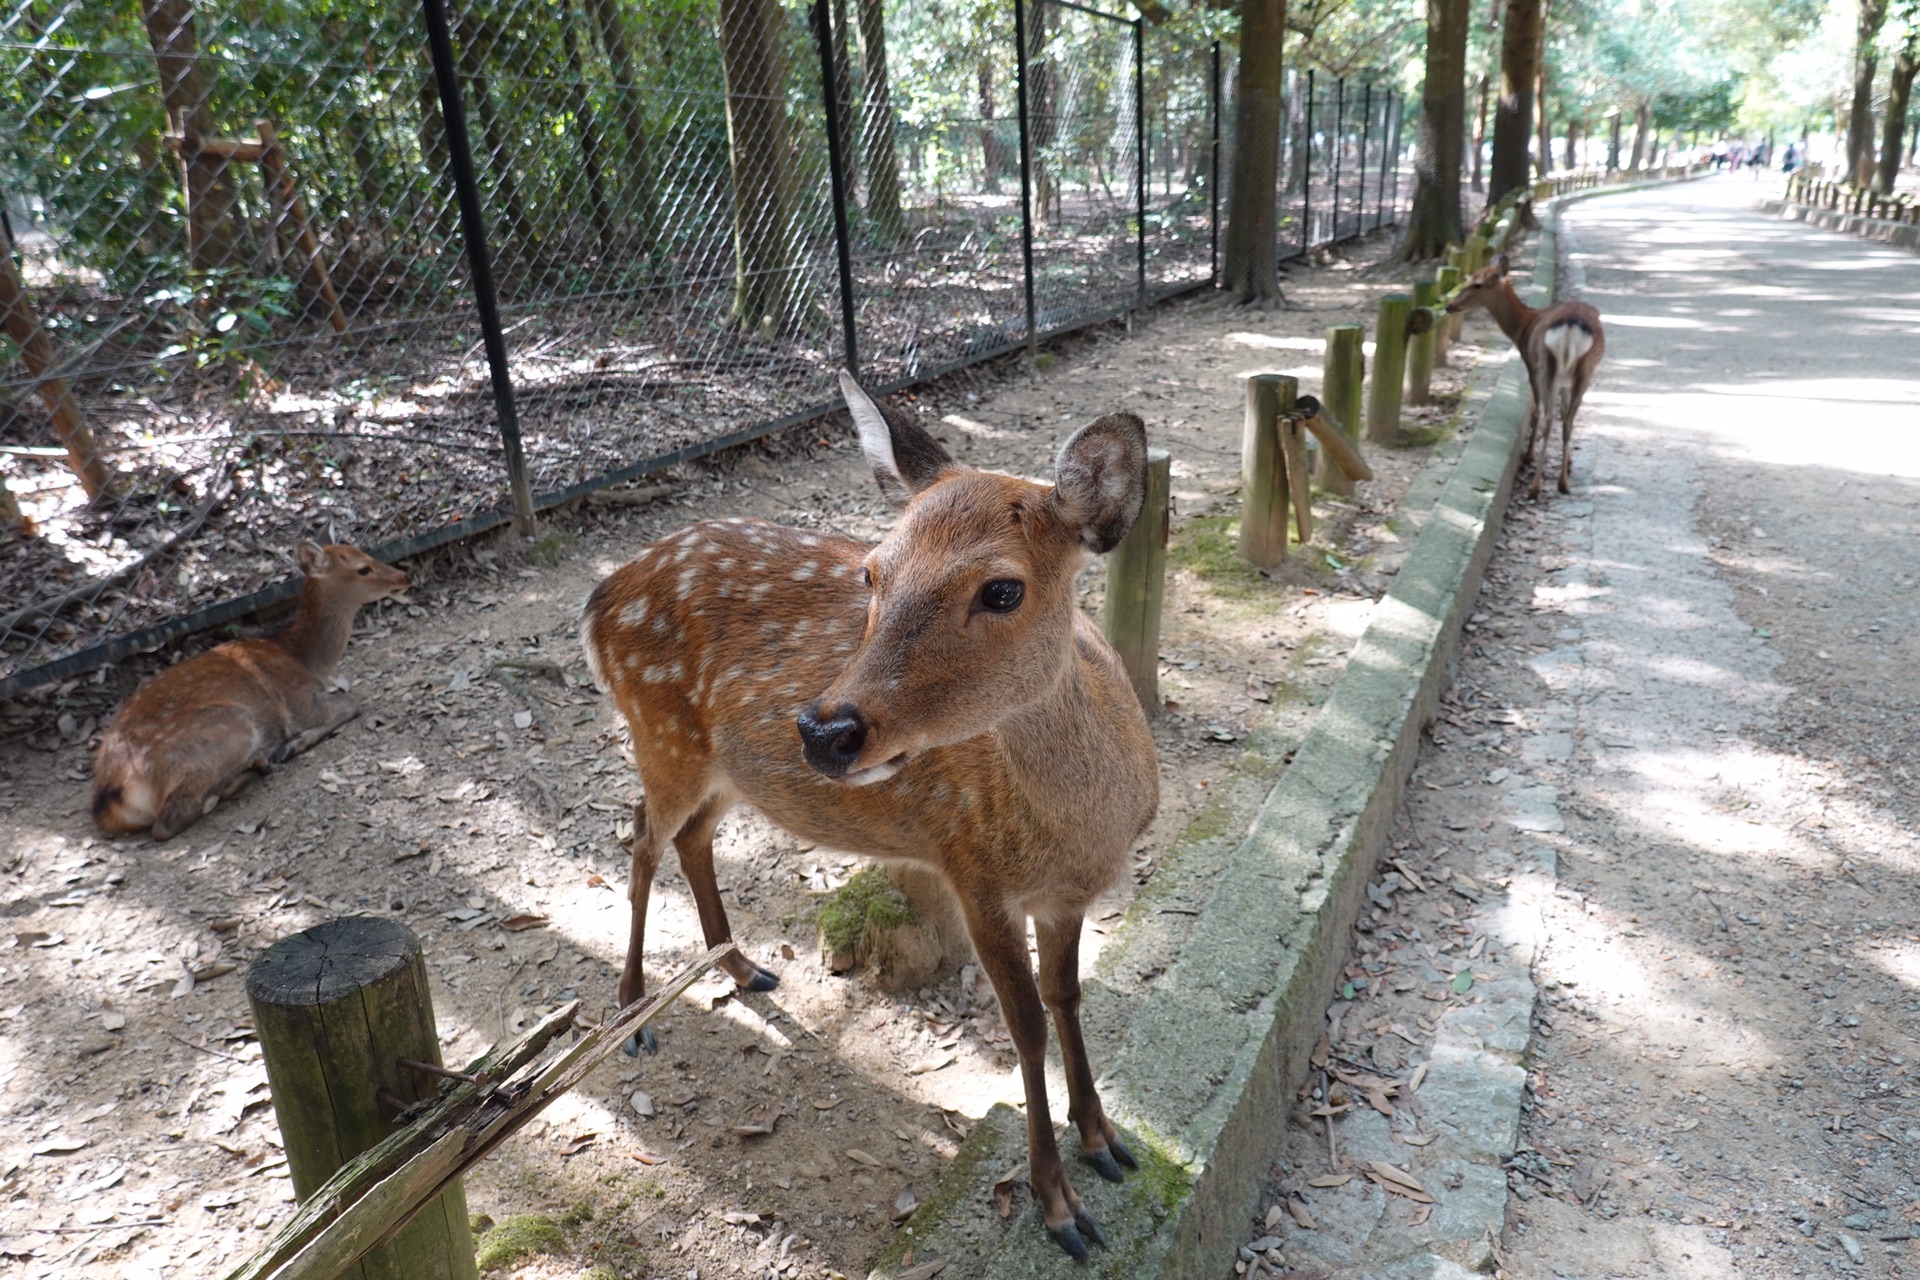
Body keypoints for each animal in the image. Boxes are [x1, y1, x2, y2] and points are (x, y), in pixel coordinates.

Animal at [91, 541, 407, 840]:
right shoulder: (299, 702)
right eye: (363, 568)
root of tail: (112, 796)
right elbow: (351, 702)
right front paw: (295, 744)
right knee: (169, 822)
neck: (303, 659)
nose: (402, 576)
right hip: (229, 728)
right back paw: (258, 765)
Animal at [579, 370, 1152, 1258]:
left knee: (690, 839)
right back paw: (636, 1009)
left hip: (723, 769)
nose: (825, 729)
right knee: (641, 838)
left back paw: (743, 967)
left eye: (1003, 588)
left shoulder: (1065, 896)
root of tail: (599, 597)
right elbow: (1023, 1027)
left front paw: (1105, 1142)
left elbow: (1067, 1000)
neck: (1078, 834)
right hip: (658, 732)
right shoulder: (972, 870)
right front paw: (1058, 1208)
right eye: (873, 574)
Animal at [1443, 249, 1605, 495]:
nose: (1449, 305)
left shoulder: (1530, 363)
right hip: (1584, 370)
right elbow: (1564, 413)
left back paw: (1536, 486)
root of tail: (1570, 328)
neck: (1523, 326)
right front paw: (1569, 463)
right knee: (1567, 419)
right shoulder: (1566, 382)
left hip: (1547, 366)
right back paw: (1563, 482)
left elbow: (1536, 410)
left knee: (1547, 415)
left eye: (1478, 284)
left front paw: (1529, 456)